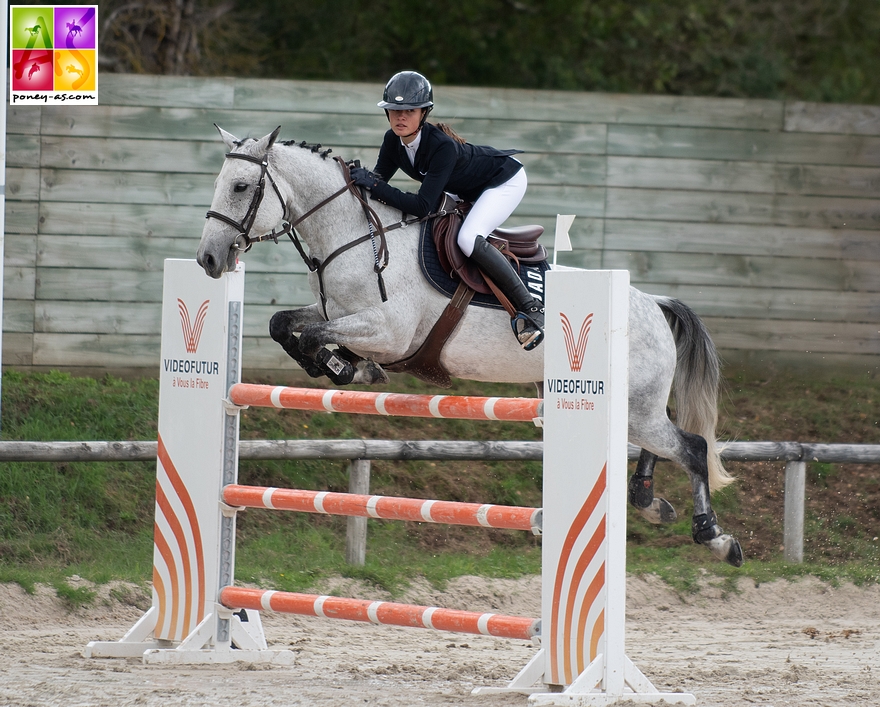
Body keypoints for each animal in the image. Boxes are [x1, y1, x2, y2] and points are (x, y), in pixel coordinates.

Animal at [198, 127, 744, 568]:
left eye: (241, 187)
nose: (208, 259)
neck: (351, 238)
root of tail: (651, 302)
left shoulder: (388, 331)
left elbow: (317, 338)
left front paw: (349, 368)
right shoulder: (336, 313)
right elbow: (282, 324)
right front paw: (344, 367)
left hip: (634, 404)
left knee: (692, 449)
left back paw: (716, 539)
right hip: (633, 406)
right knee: (660, 443)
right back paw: (652, 504)